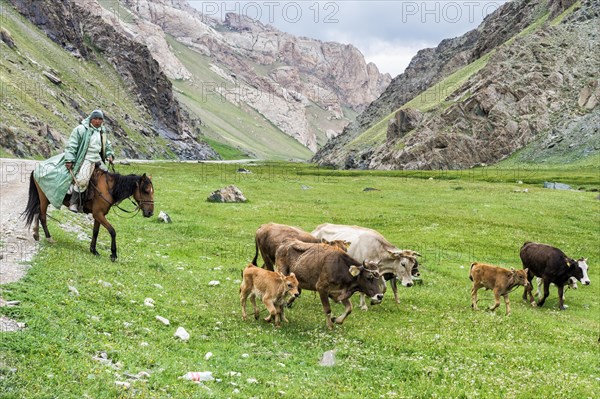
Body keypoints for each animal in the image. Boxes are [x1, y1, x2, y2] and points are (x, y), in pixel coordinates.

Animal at [22, 168, 155, 262]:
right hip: (44, 198)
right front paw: (113, 254)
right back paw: (49, 238)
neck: (108, 188)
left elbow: (95, 232)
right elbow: (112, 231)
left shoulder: (98, 215)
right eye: (145, 190)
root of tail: (36, 170)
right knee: (42, 216)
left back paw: (36, 234)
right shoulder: (99, 214)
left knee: (36, 212)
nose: (150, 213)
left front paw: (94, 250)